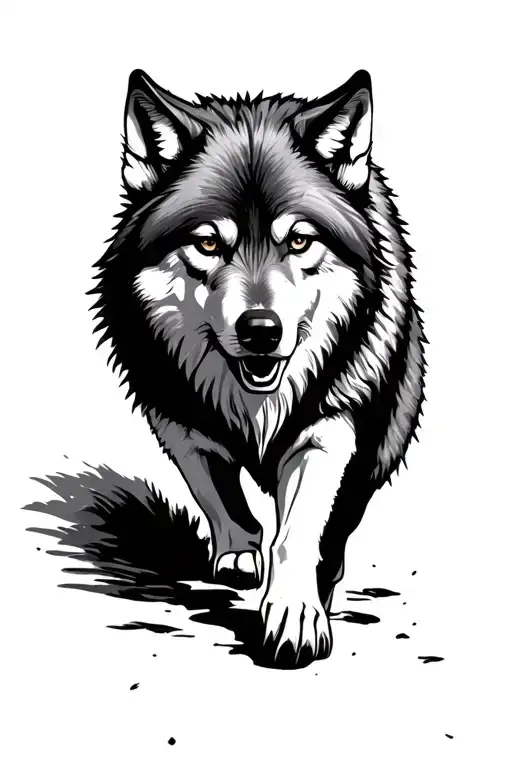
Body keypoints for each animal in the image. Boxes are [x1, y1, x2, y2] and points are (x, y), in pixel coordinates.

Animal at [92, 68, 426, 668]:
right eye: (207, 242)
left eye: (299, 240)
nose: (261, 331)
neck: (255, 406)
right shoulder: (175, 415)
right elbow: (215, 488)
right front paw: (241, 553)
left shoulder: (327, 427)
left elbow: (298, 532)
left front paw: (295, 612)